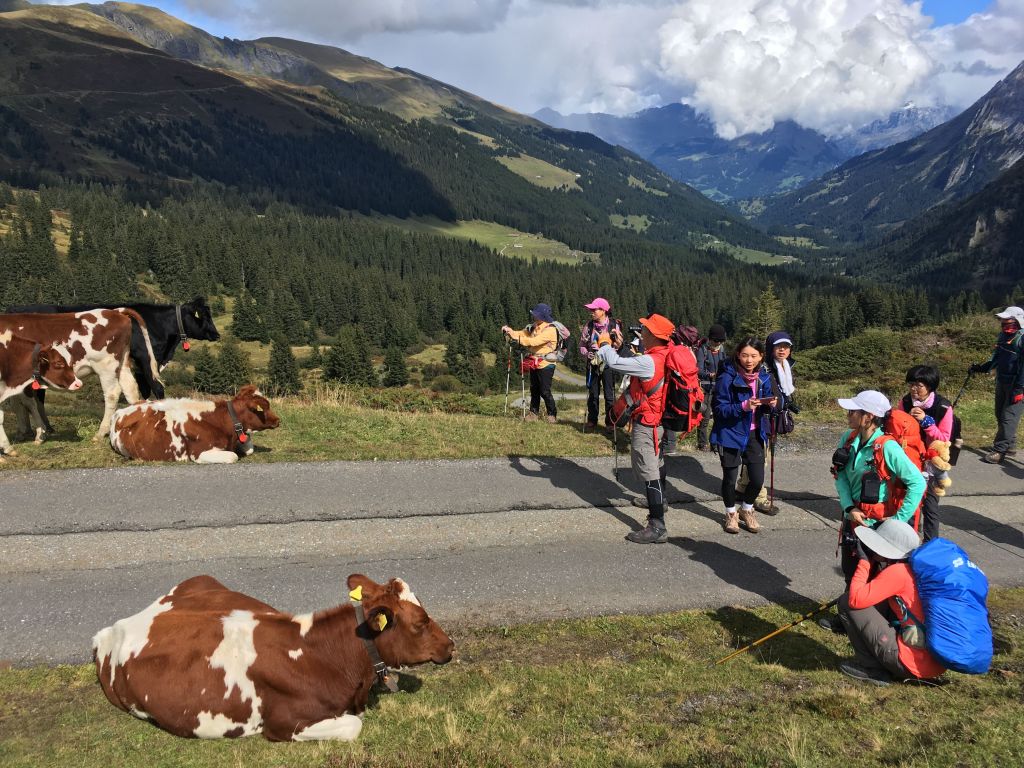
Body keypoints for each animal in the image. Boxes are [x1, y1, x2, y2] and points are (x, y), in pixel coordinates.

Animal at [0, 307, 158, 438]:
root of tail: (115, 311)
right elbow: (16, 404)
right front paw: (23, 432)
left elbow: (26, 402)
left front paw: (38, 433)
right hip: (122, 363)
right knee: (130, 389)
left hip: (106, 366)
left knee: (112, 394)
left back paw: (101, 433)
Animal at [109, 385, 280, 462]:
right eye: (263, 408)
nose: (278, 420)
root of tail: (119, 411)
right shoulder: (199, 453)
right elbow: (233, 456)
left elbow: (249, 447)